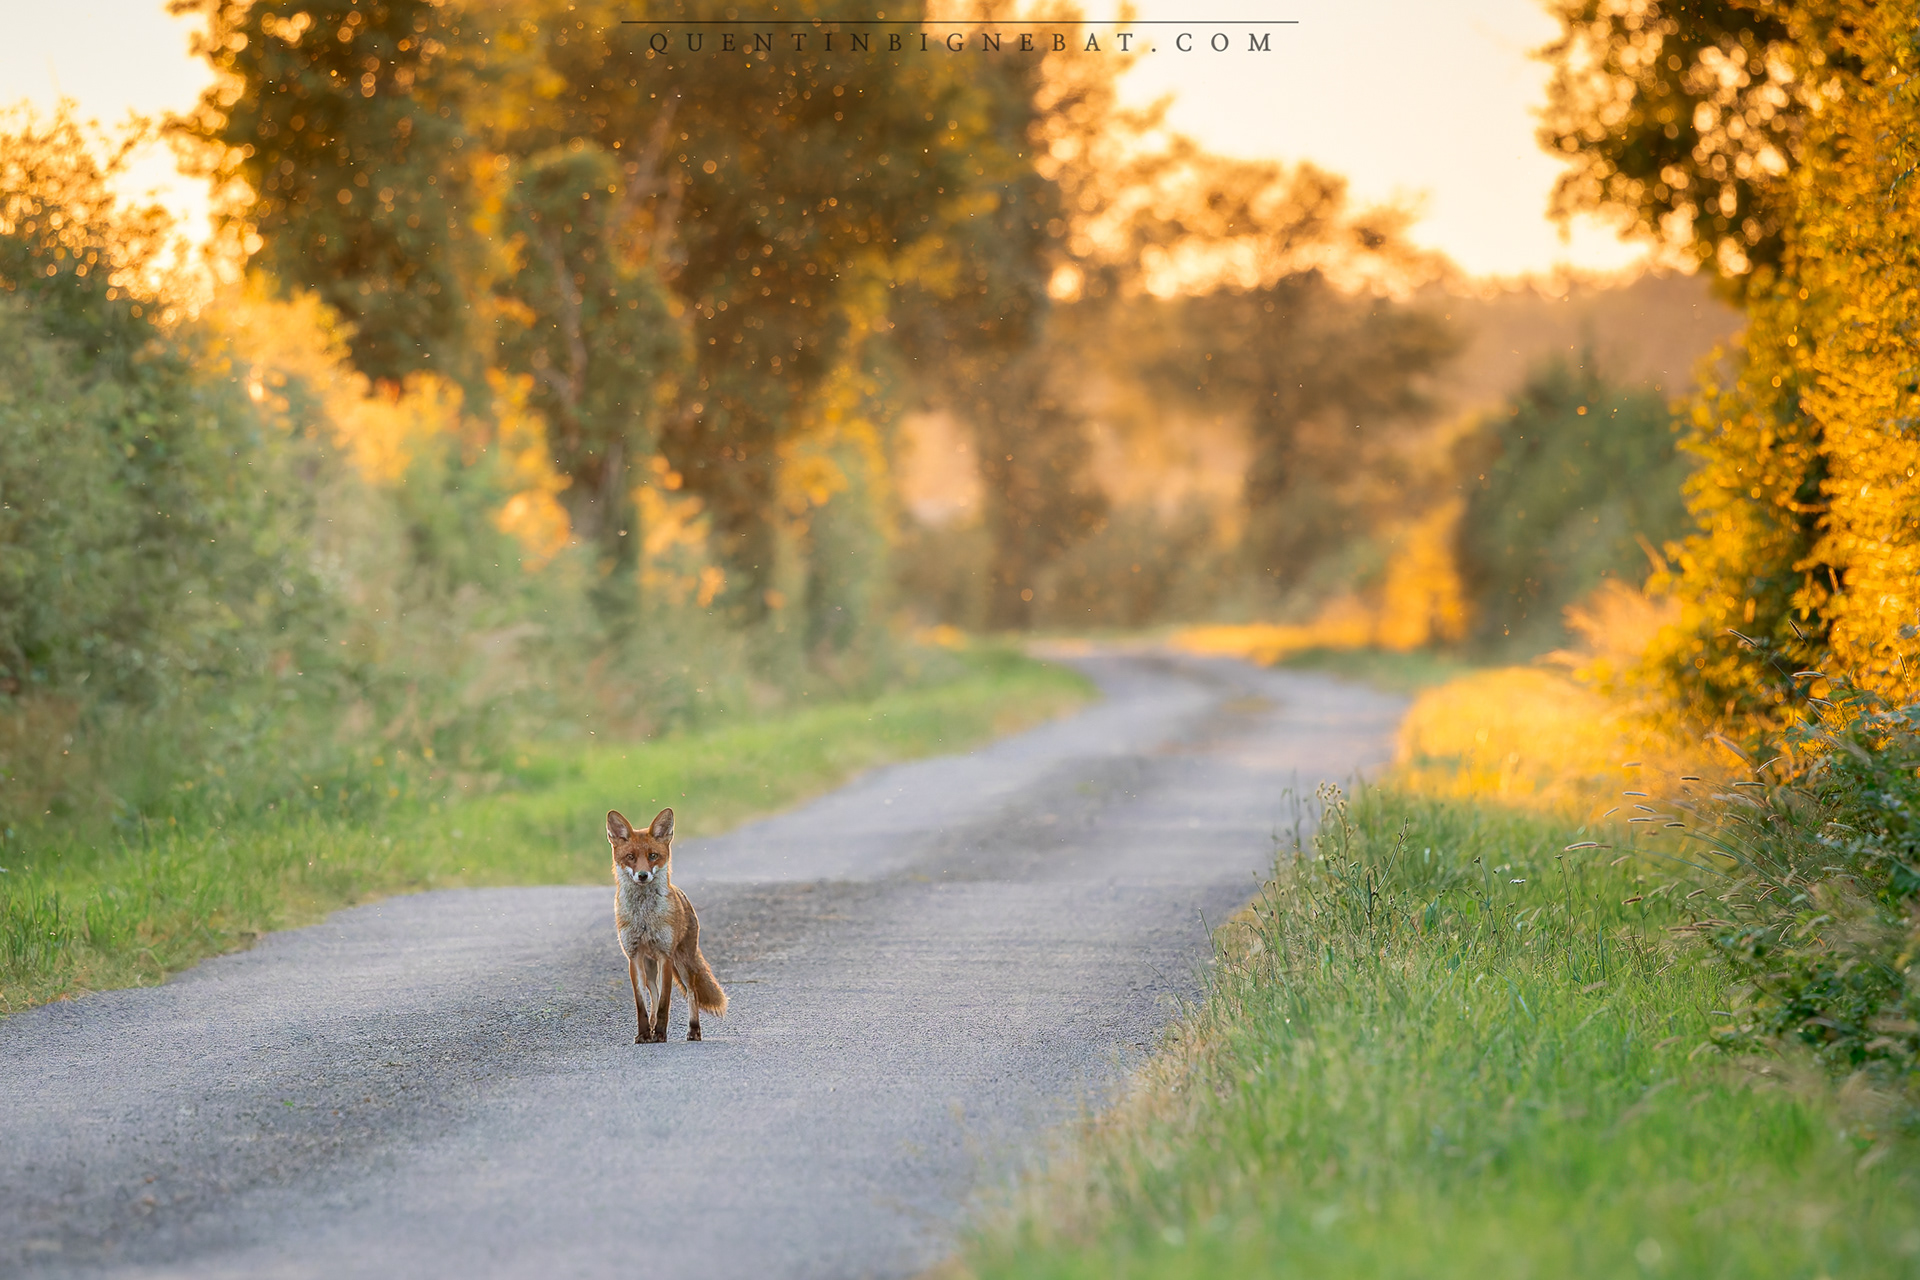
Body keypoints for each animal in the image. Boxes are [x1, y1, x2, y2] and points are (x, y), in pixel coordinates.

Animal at [608, 807, 728, 1043]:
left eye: (653, 855)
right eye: (630, 857)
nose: (642, 875)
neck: (644, 918)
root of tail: (681, 894)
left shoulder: (665, 956)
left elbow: (665, 1003)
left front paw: (661, 1033)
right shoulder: (634, 957)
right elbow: (643, 1005)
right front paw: (645, 1033)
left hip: (683, 963)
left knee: (692, 992)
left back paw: (693, 1030)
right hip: (650, 969)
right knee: (653, 995)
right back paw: (653, 1028)